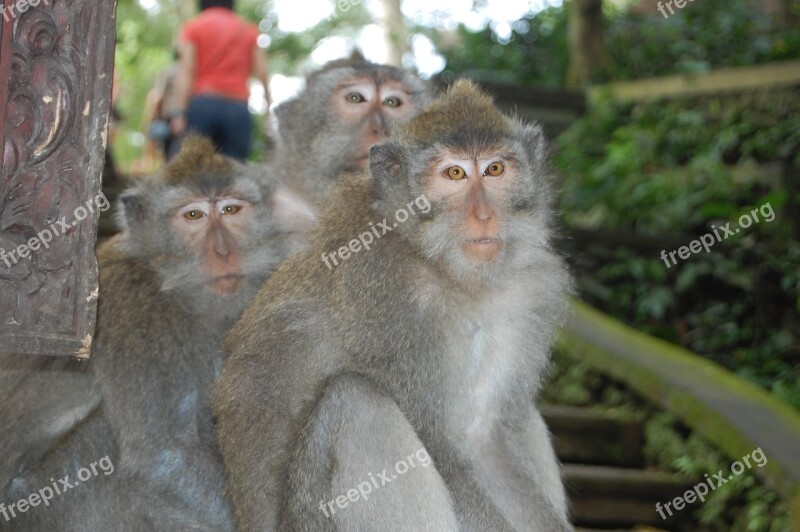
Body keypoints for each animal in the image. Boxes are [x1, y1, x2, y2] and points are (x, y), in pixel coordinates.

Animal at [0, 135, 300, 528]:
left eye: (231, 210)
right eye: (193, 216)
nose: (223, 252)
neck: (170, 283)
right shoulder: (138, 311)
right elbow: (165, 456)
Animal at [216, 81, 572, 528]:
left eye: (494, 170)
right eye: (454, 173)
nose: (484, 215)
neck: (447, 271)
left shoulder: (530, 292)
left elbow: (485, 439)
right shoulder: (387, 291)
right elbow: (438, 441)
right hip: (309, 517)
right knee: (357, 402)